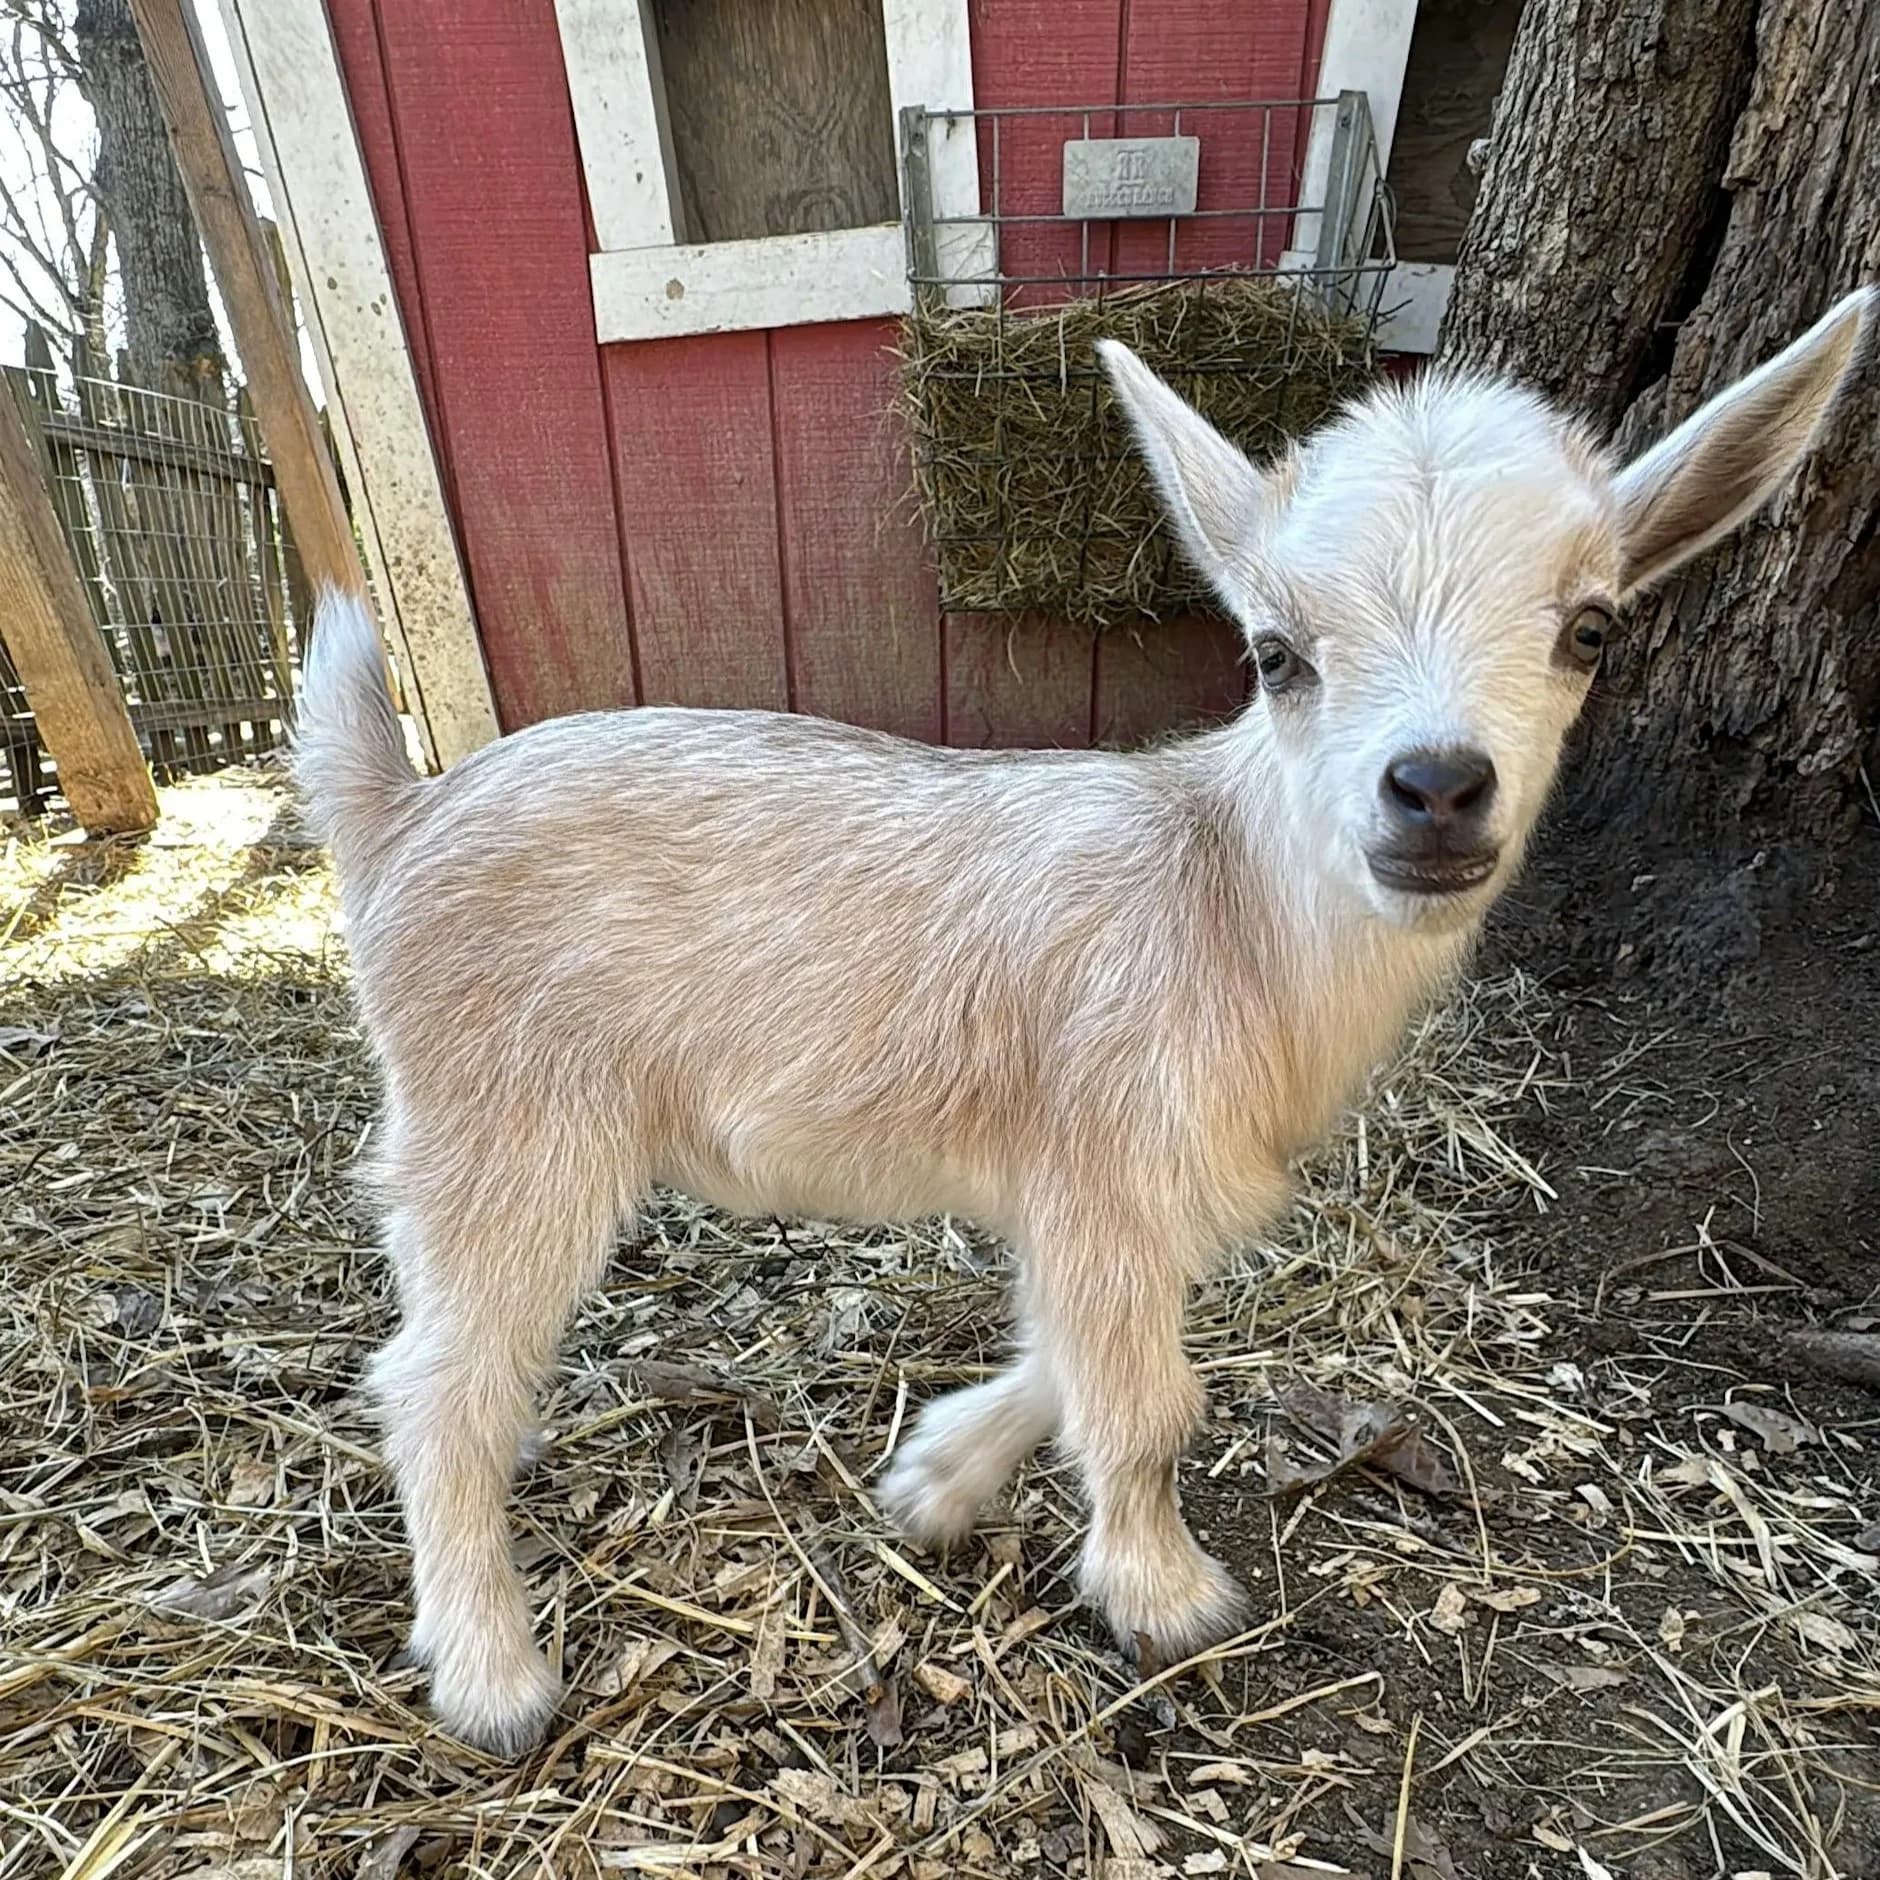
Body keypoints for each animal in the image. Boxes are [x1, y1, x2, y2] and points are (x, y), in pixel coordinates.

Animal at [296, 289, 1871, 1754]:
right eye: (1275, 652)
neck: (1227, 903)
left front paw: (933, 1480)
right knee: (432, 1382)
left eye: (1591, 628)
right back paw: (490, 1673)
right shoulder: (1110, 1159)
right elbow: (1150, 1399)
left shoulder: (1121, 1189)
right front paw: (1164, 1597)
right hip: (506, 1118)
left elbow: (1074, 1349)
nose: (1434, 788)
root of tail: (395, 816)